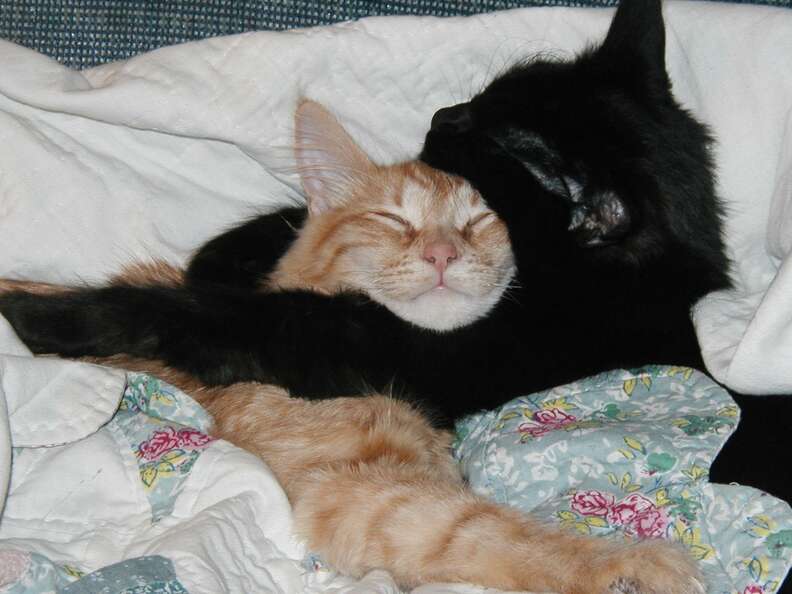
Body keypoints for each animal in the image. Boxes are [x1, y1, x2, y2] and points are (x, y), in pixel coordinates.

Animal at [0, 102, 704, 592]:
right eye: (393, 219)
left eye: (482, 220)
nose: (442, 254)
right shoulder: (357, 491)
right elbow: (487, 531)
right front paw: (626, 563)